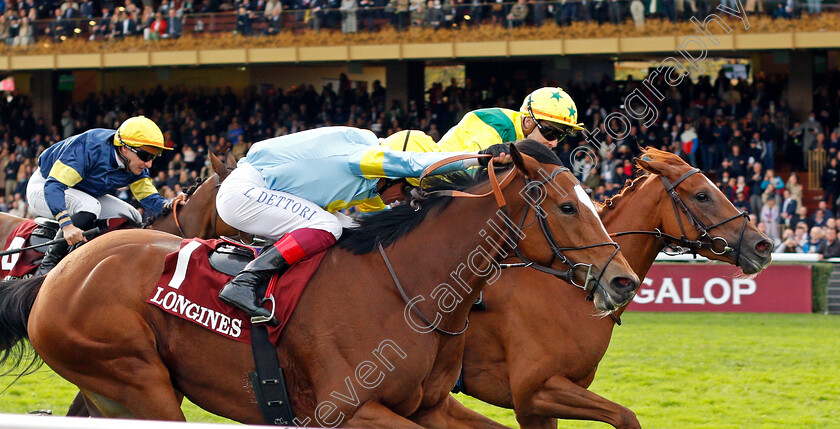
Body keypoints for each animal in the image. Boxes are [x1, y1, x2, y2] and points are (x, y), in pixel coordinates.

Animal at [3, 143, 640, 424]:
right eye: (565, 207)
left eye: (592, 198)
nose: (623, 281)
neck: (407, 291)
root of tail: (59, 273)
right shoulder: (347, 411)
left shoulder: (431, 408)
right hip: (137, 382)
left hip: (112, 390)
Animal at [456, 148, 772, 428]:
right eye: (702, 195)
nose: (763, 245)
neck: (566, 290)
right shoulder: (533, 391)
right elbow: (626, 416)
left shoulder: (542, 406)